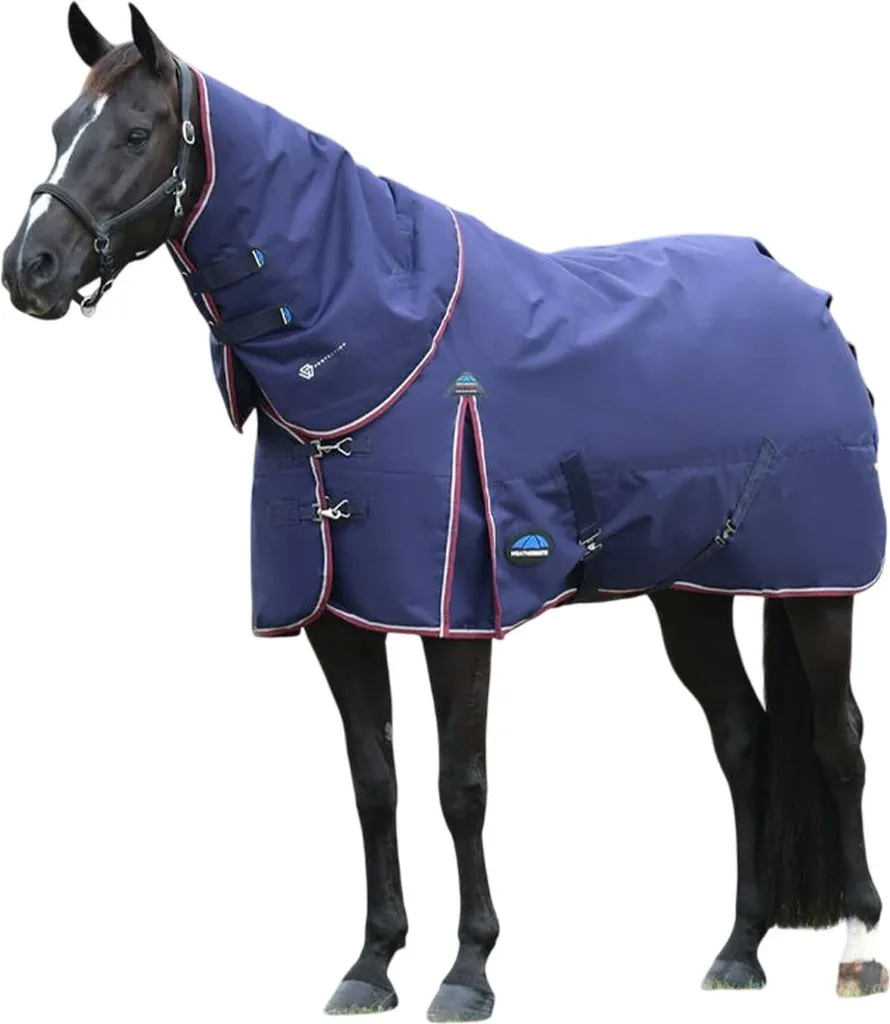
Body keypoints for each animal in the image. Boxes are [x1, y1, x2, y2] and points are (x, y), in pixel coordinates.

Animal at [2, 4, 887, 1018]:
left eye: (137, 133)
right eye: (60, 129)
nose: (29, 269)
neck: (378, 349)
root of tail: (810, 302)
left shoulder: (454, 614)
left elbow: (459, 784)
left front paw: (469, 971)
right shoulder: (338, 619)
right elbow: (374, 783)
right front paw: (371, 963)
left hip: (818, 586)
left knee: (838, 739)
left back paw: (858, 950)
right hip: (689, 592)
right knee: (744, 739)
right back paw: (738, 951)